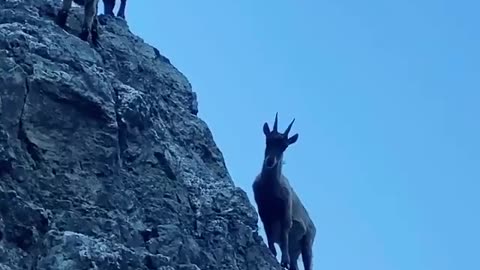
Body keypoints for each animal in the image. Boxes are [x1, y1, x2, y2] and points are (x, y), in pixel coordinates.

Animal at [253, 113, 316, 270]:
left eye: (285, 146)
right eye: (267, 141)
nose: (270, 161)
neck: (271, 189)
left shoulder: (286, 209)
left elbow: (285, 231)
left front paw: (284, 260)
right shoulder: (263, 209)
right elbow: (268, 230)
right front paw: (272, 252)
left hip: (307, 242)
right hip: (296, 250)